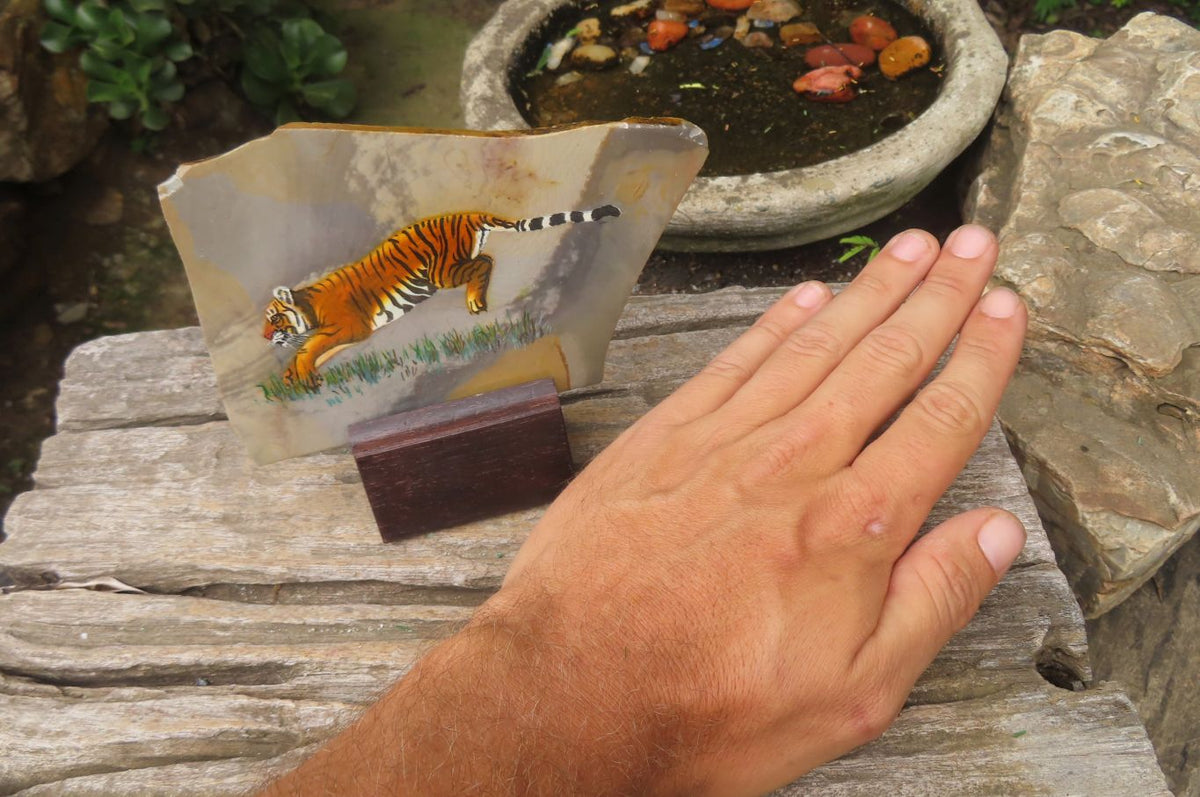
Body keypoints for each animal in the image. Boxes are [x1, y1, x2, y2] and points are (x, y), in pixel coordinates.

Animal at [262, 204, 621, 390]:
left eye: (274, 318)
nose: (266, 337)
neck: (307, 307)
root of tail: (469, 213)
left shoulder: (349, 327)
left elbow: (310, 346)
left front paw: (300, 372)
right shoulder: (348, 334)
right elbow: (316, 349)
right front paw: (293, 376)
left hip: (442, 272)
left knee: (484, 263)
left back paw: (475, 302)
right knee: (486, 260)